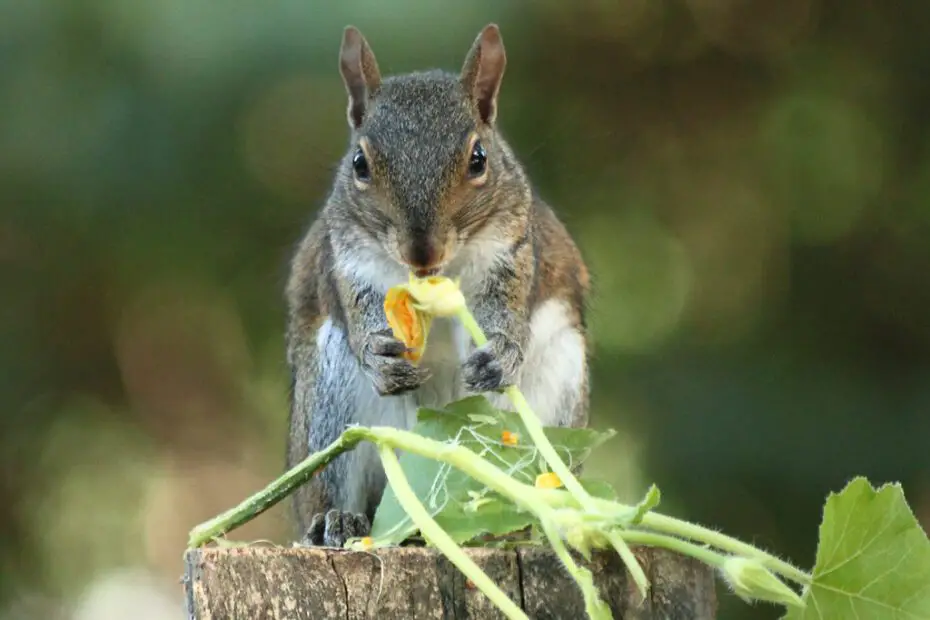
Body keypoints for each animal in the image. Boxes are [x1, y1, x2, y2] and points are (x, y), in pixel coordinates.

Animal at [282, 23, 592, 548]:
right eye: (360, 164)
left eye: (478, 159)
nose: (421, 252)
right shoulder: (347, 261)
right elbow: (360, 314)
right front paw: (380, 357)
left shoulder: (512, 252)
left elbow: (504, 313)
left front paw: (501, 353)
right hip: (329, 402)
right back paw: (337, 521)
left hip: (563, 375)